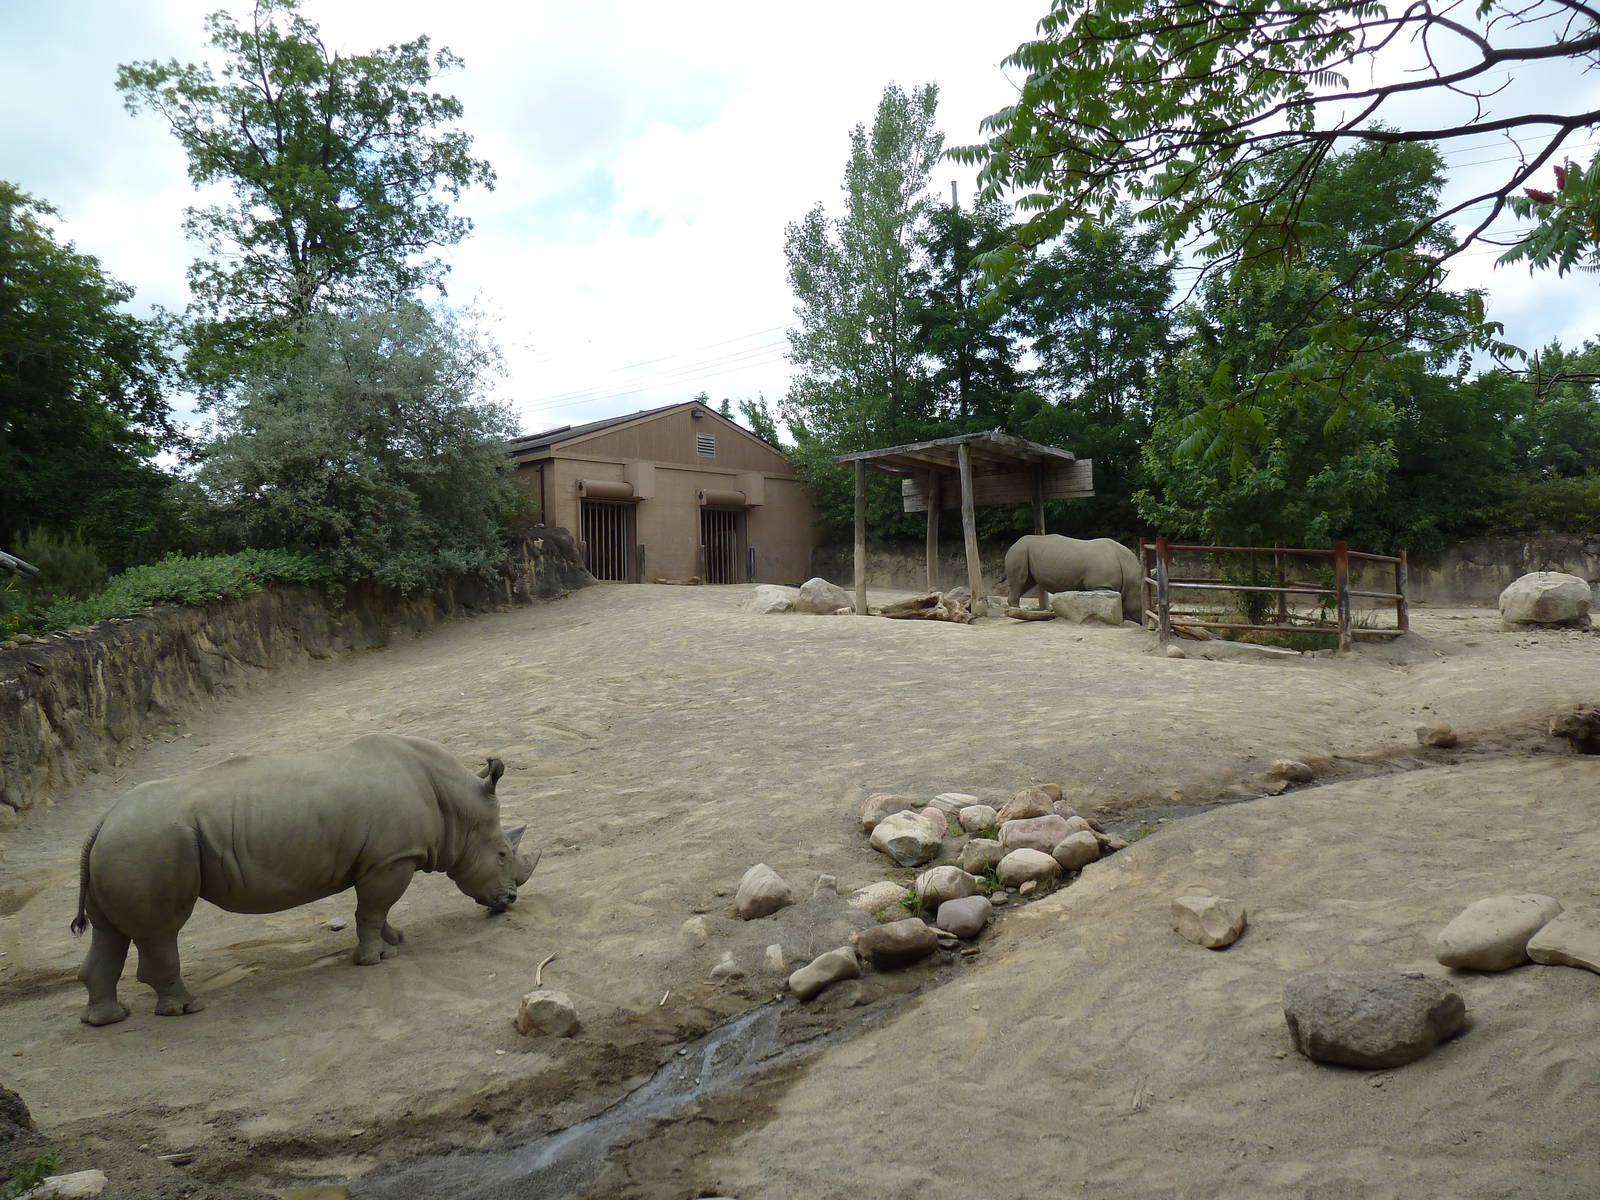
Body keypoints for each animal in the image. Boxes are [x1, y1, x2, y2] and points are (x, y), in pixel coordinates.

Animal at [70, 733, 538, 1027]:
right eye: (501, 854)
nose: (510, 900)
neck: (453, 806)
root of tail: (101, 822)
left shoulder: (384, 860)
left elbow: (381, 909)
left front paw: (396, 940)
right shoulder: (391, 858)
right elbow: (372, 908)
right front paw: (376, 959)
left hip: (125, 847)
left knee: (111, 933)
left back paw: (107, 1020)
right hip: (151, 845)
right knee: (161, 930)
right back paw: (187, 1009)